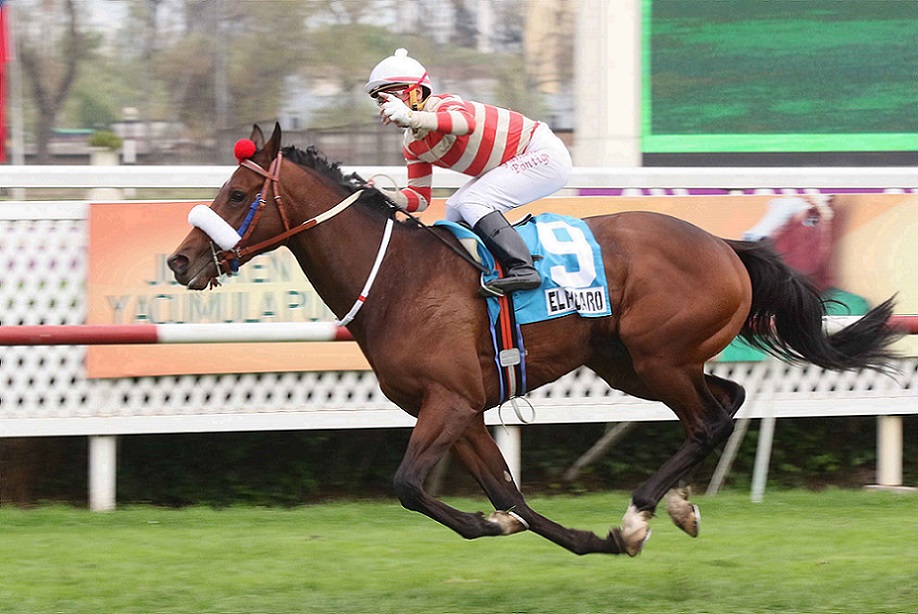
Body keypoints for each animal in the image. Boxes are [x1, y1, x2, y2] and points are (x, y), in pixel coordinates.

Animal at [167, 123, 900, 556]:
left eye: (237, 194)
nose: (179, 261)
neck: (400, 278)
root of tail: (723, 244)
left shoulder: (447, 402)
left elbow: (409, 485)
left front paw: (530, 528)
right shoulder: (460, 410)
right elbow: (508, 495)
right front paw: (576, 537)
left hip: (659, 357)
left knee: (708, 421)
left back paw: (642, 511)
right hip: (632, 364)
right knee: (724, 402)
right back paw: (679, 506)